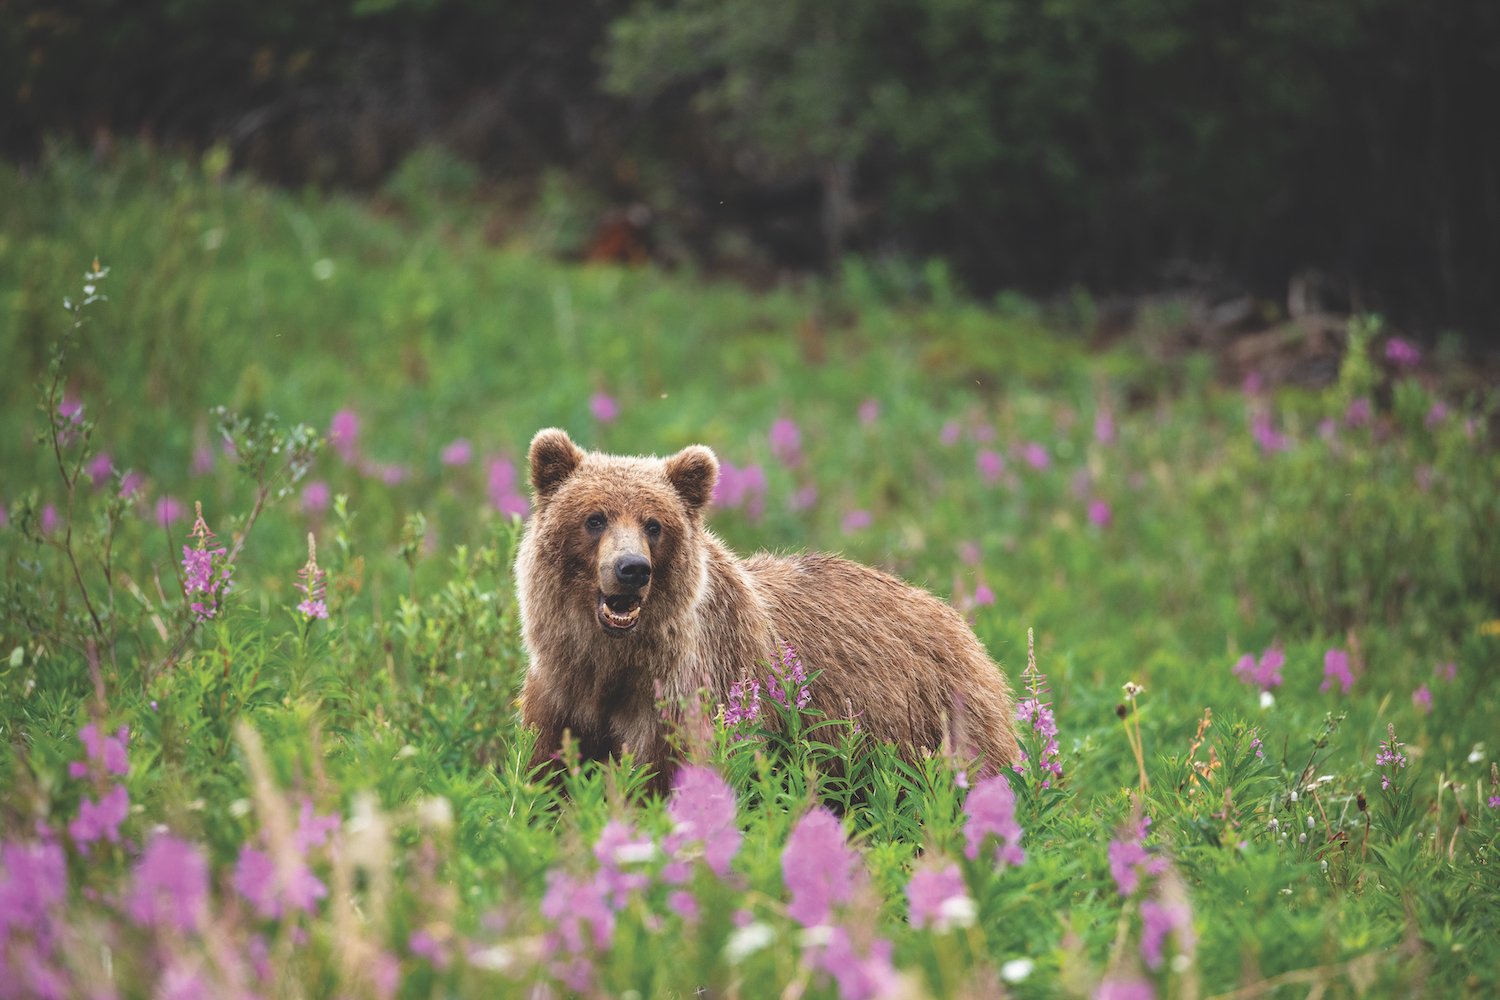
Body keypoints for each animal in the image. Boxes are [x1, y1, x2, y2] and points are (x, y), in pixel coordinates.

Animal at [515, 427, 1020, 790]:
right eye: (594, 518)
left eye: (654, 524)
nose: (632, 569)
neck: (614, 660)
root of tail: (957, 620)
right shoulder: (563, 693)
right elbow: (549, 775)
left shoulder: (687, 694)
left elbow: (664, 776)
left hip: (938, 720)